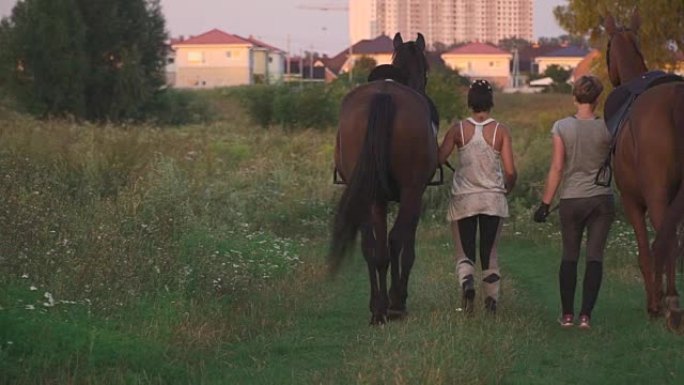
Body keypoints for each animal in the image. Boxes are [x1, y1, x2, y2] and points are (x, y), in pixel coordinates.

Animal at [332, 32, 438, 324]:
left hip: (368, 195)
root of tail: (384, 95)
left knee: (372, 246)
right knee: (396, 240)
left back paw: (378, 309)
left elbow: (377, 248)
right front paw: (398, 298)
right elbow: (407, 247)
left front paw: (378, 304)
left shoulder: (377, 199)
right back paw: (395, 303)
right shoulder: (416, 196)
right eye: (426, 69)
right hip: (411, 192)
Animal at [604, 10, 684, 328]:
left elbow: (645, 251)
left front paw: (654, 303)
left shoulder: (632, 202)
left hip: (656, 196)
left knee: (666, 241)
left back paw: (670, 305)